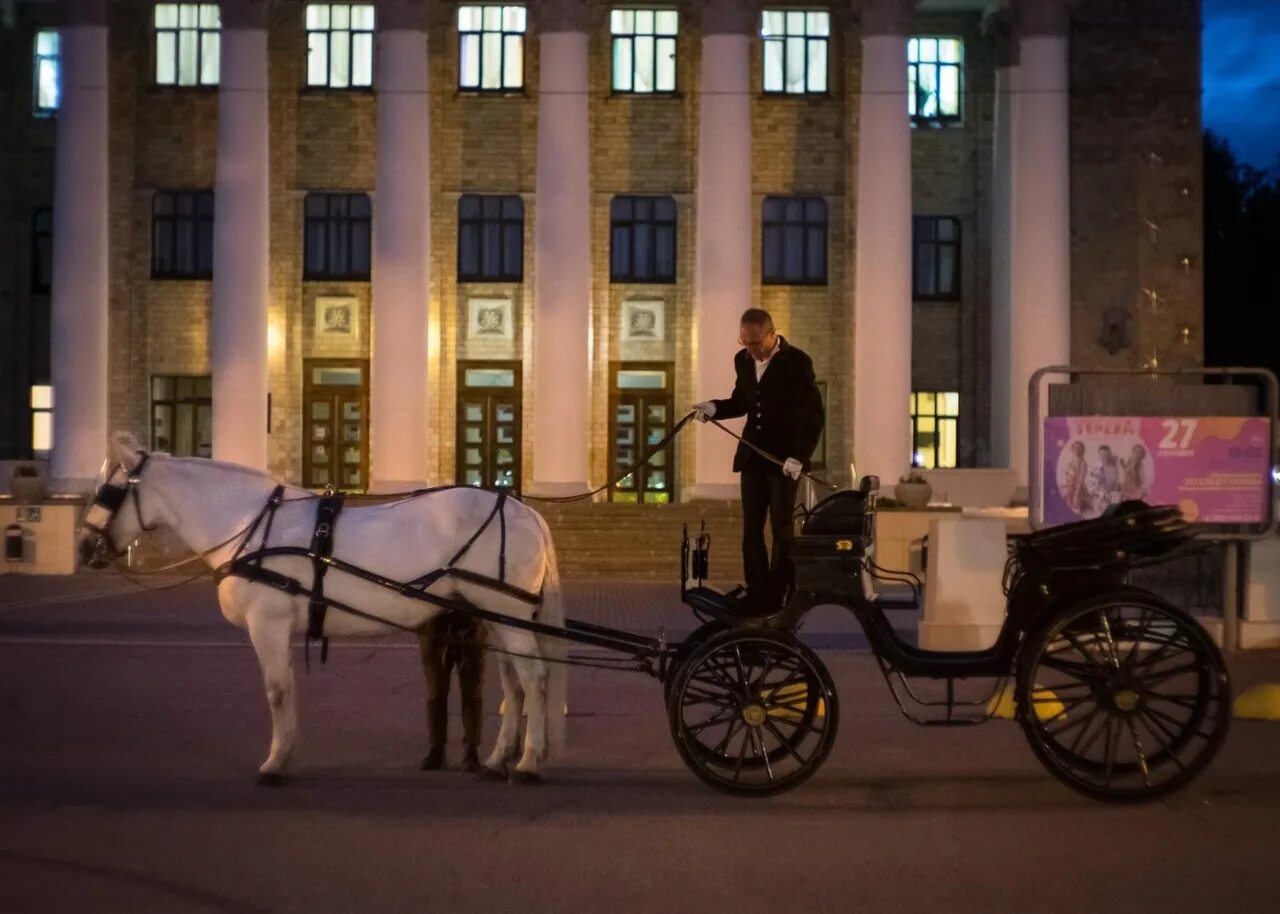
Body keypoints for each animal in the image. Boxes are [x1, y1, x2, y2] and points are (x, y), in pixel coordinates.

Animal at [80, 432, 560, 783]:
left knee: (534, 679)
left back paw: (529, 762)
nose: (85, 548)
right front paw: (286, 755)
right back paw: (499, 760)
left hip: (509, 618)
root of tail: (526, 511)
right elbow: (288, 690)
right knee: (514, 684)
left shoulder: (267, 624)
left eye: (112, 490)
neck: (249, 522)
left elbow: (277, 691)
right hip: (497, 619)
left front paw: (274, 764)